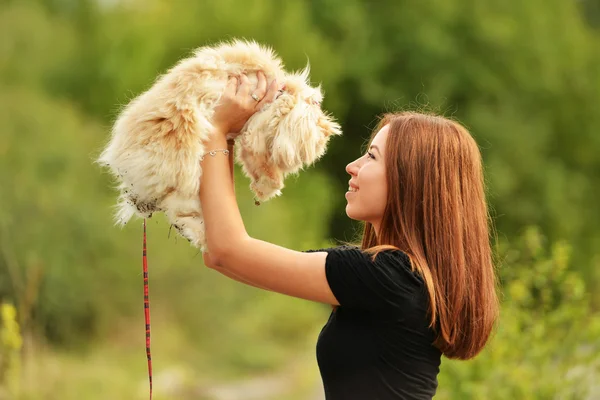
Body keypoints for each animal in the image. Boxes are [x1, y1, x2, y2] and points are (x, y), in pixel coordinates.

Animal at [98, 39, 342, 248]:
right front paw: (269, 188)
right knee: (179, 210)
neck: (280, 96)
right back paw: (202, 237)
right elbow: (261, 162)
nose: (324, 136)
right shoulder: (256, 130)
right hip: (186, 173)